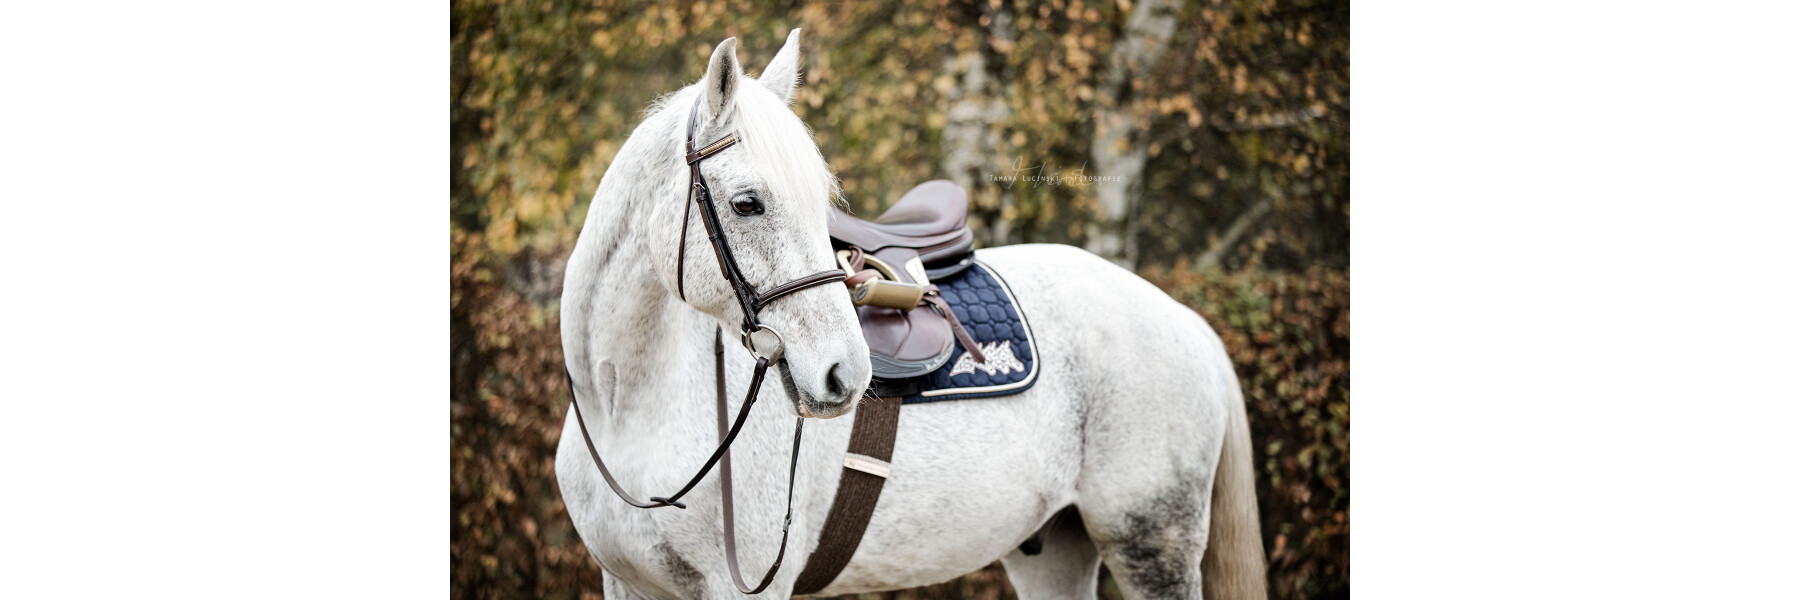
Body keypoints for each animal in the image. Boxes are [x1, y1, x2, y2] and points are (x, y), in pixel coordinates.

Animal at [555, 30, 1267, 600]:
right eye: (747, 202)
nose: (845, 374)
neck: (624, 408)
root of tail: (1181, 317)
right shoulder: (626, 582)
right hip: (1056, 553)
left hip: (1152, 544)